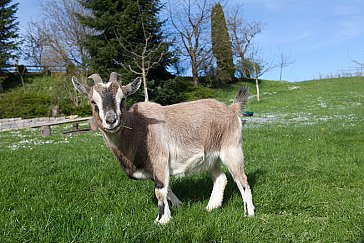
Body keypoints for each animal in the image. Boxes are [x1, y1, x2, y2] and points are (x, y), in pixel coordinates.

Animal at [70, 72, 253, 224]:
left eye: (123, 99)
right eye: (93, 101)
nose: (111, 120)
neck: (138, 127)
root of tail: (231, 109)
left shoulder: (159, 159)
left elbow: (160, 190)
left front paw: (161, 220)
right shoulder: (154, 169)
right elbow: (166, 187)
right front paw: (178, 206)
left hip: (231, 148)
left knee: (241, 179)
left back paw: (249, 212)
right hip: (210, 158)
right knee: (221, 178)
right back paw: (211, 207)